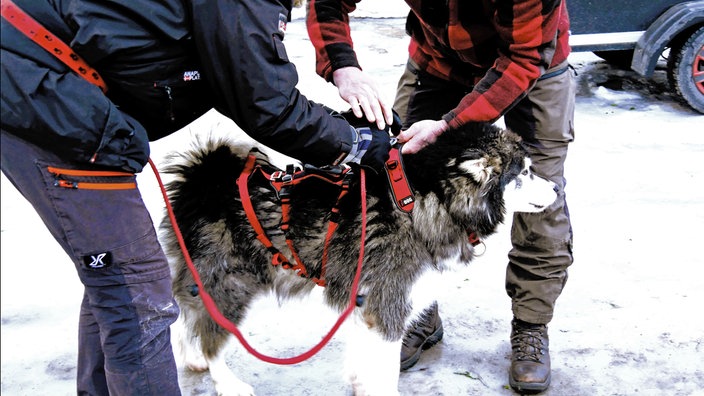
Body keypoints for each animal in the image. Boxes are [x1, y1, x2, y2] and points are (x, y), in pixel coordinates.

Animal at [160, 122, 556, 394]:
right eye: (524, 172)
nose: (555, 186)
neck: (418, 202)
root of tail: (205, 176)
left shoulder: (364, 298)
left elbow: (365, 359)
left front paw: (357, 381)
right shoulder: (387, 302)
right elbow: (384, 371)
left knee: (184, 315)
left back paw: (191, 357)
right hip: (230, 282)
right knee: (210, 333)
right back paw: (224, 378)